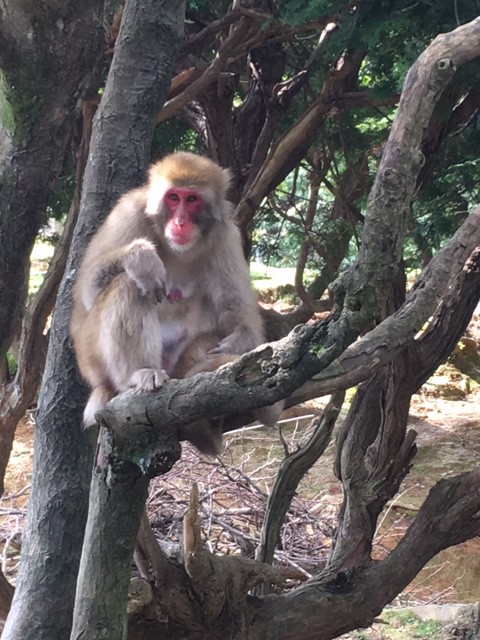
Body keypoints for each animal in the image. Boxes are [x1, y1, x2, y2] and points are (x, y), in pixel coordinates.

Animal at [68, 151, 278, 450]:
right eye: (173, 198)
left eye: (191, 200)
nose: (180, 222)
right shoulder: (128, 213)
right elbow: (87, 290)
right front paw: (141, 259)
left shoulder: (225, 233)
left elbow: (234, 305)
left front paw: (241, 342)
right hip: (92, 359)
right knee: (129, 286)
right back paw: (138, 375)